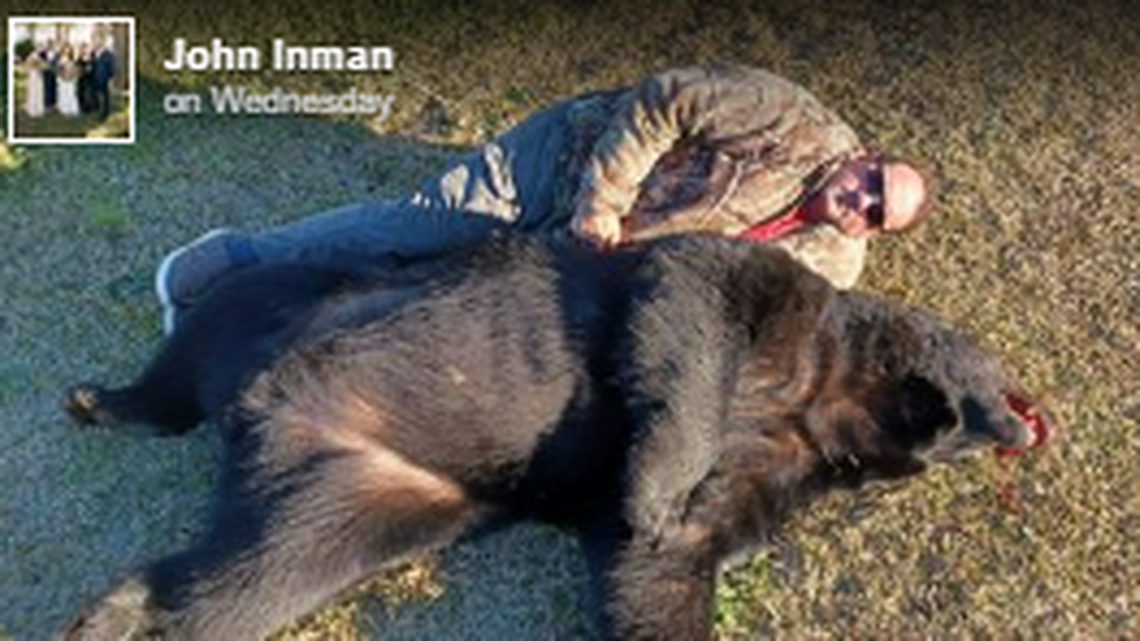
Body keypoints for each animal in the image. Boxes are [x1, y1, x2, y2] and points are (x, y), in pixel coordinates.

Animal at [60, 234, 1051, 641]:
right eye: (1007, 385)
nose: (1031, 422)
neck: (830, 400)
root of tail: (255, 408)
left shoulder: (773, 473)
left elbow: (667, 563)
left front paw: (660, 530)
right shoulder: (774, 300)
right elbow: (694, 303)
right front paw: (656, 491)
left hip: (362, 490)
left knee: (250, 580)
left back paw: (118, 607)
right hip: (289, 291)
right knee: (189, 352)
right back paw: (99, 400)